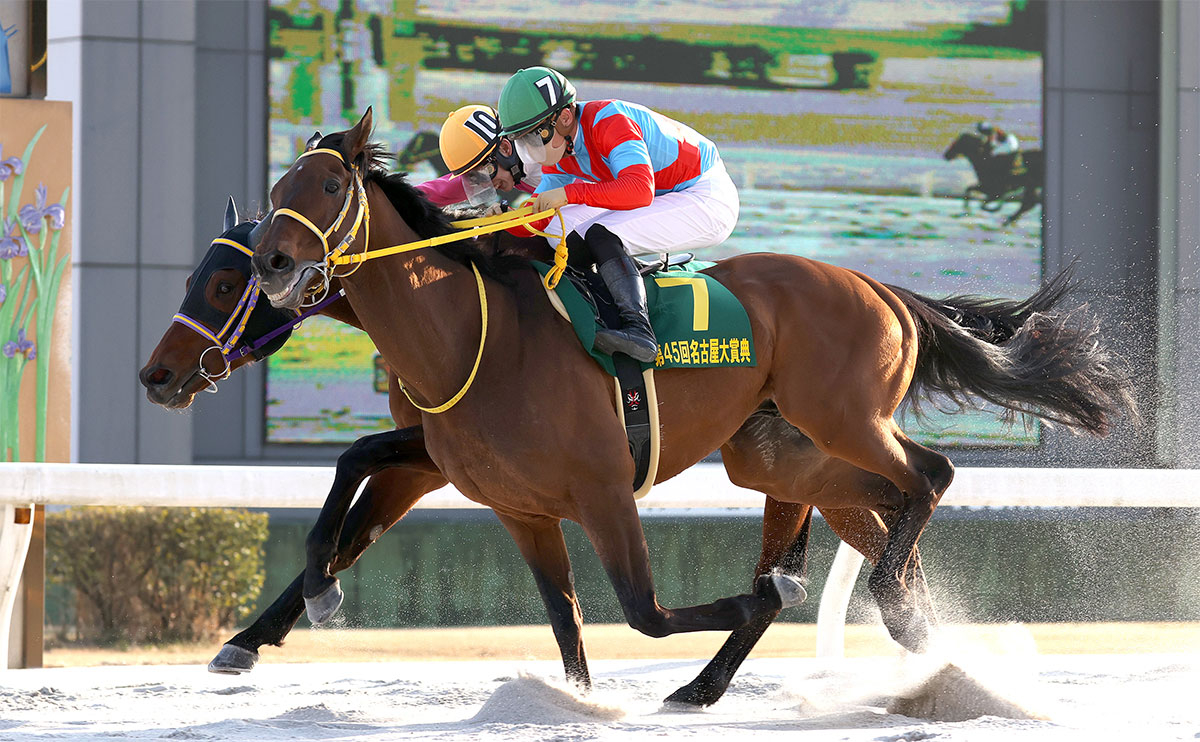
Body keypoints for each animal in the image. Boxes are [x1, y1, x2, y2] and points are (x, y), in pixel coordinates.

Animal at [142, 193, 926, 701]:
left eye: (225, 282)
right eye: (192, 278)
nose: (157, 375)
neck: (464, 319)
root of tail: (881, 290)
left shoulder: (441, 463)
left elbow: (354, 467)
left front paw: (290, 610)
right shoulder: (430, 461)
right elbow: (354, 496)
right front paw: (258, 630)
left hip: (830, 431)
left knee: (908, 495)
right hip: (785, 460)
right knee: (881, 514)